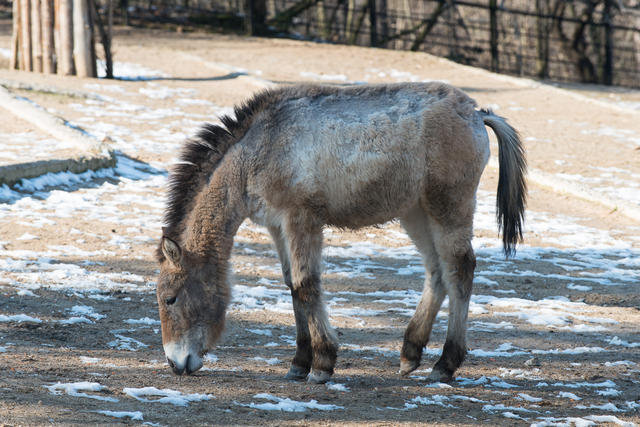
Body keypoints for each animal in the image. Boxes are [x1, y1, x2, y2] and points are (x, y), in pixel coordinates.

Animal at [155, 83, 524, 384]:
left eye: (170, 298)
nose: (175, 363)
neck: (261, 148)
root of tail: (475, 114)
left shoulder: (301, 219)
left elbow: (307, 284)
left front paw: (322, 364)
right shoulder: (277, 225)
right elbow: (292, 286)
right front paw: (299, 362)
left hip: (448, 207)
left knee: (460, 270)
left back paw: (445, 364)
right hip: (416, 212)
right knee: (437, 272)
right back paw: (410, 354)